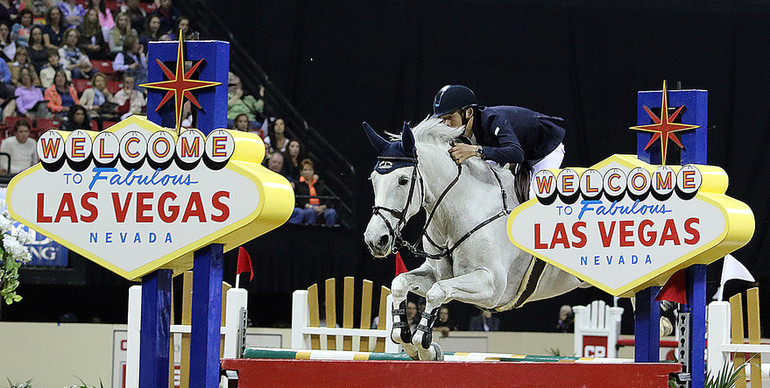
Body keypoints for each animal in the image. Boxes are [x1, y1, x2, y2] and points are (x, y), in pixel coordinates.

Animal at [364, 117, 580, 360]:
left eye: (402, 180)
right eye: (373, 180)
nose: (375, 240)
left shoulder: (492, 286)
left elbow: (437, 292)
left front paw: (424, 345)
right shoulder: (440, 273)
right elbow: (401, 283)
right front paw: (410, 341)